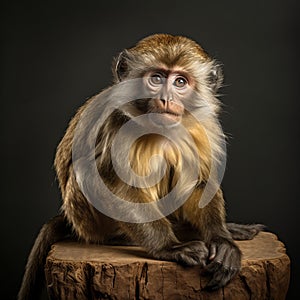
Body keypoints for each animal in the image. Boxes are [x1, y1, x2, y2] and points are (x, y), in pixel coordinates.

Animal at [17, 34, 264, 298]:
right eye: (156, 78)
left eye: (180, 82)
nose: (166, 99)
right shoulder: (118, 122)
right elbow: (114, 187)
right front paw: (169, 247)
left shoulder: (203, 125)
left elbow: (203, 182)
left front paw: (221, 241)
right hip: (87, 221)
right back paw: (125, 237)